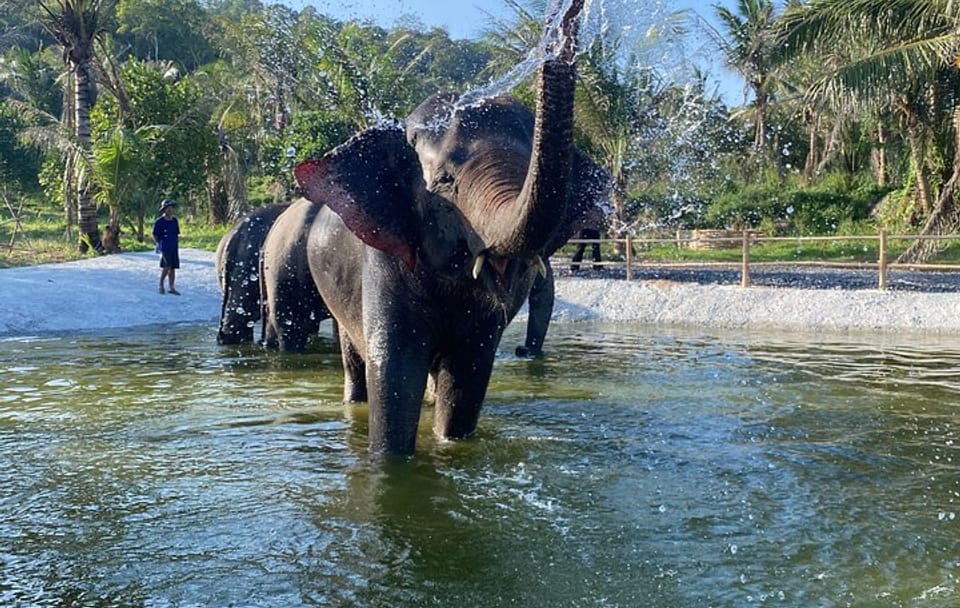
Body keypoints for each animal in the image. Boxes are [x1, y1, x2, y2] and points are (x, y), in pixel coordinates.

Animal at [294, 0, 593, 454]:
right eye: (446, 180)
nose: (564, 13)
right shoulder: (384, 259)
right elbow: (395, 375)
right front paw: (389, 460)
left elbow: (466, 380)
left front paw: (450, 445)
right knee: (353, 360)